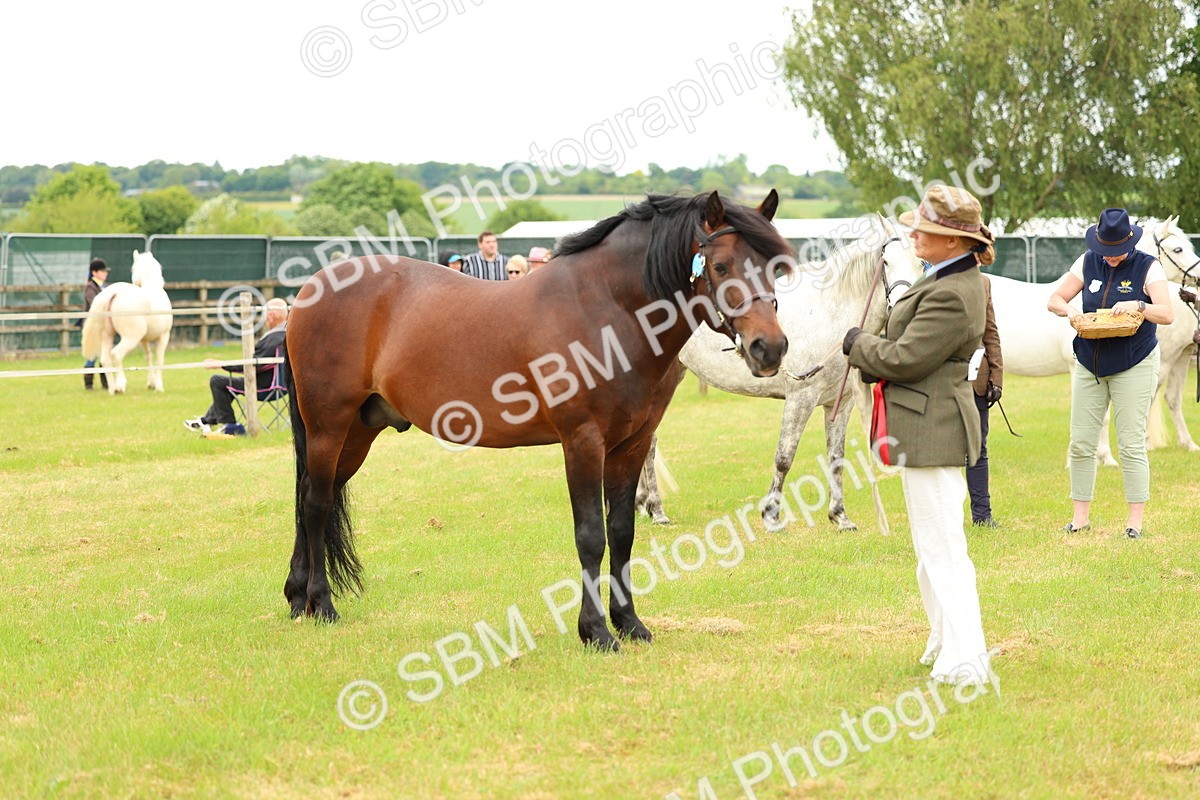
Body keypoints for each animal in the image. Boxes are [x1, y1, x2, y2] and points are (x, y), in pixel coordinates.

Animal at [80, 250, 173, 394]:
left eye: (133, 268)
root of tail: (114, 293)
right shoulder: (163, 336)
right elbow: (159, 359)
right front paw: (159, 386)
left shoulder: (144, 340)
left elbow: (148, 357)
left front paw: (151, 383)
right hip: (131, 338)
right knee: (116, 355)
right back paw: (120, 385)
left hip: (107, 335)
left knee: (105, 359)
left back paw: (112, 388)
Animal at [282, 191, 793, 651]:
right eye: (721, 266)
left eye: (773, 268)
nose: (770, 348)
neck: (606, 309)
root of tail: (311, 289)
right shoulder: (583, 441)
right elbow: (591, 536)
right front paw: (596, 632)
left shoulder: (630, 445)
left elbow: (622, 532)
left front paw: (630, 624)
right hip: (329, 425)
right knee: (316, 504)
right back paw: (322, 605)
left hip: (358, 432)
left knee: (312, 496)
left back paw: (296, 597)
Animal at [635, 217, 924, 530]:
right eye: (886, 261)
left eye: (922, 263)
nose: (903, 307)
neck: (829, 313)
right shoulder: (800, 398)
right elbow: (784, 457)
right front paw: (771, 515)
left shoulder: (842, 403)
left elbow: (836, 458)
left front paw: (840, 516)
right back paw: (656, 510)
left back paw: (645, 505)